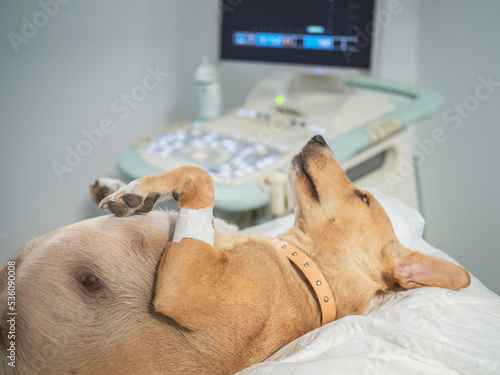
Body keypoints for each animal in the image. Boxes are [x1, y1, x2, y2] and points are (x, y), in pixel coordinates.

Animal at [0, 137, 470, 375]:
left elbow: (201, 175)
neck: (306, 271)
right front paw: (121, 188)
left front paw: (138, 190)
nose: (319, 135)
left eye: (365, 196)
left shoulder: (187, 287)